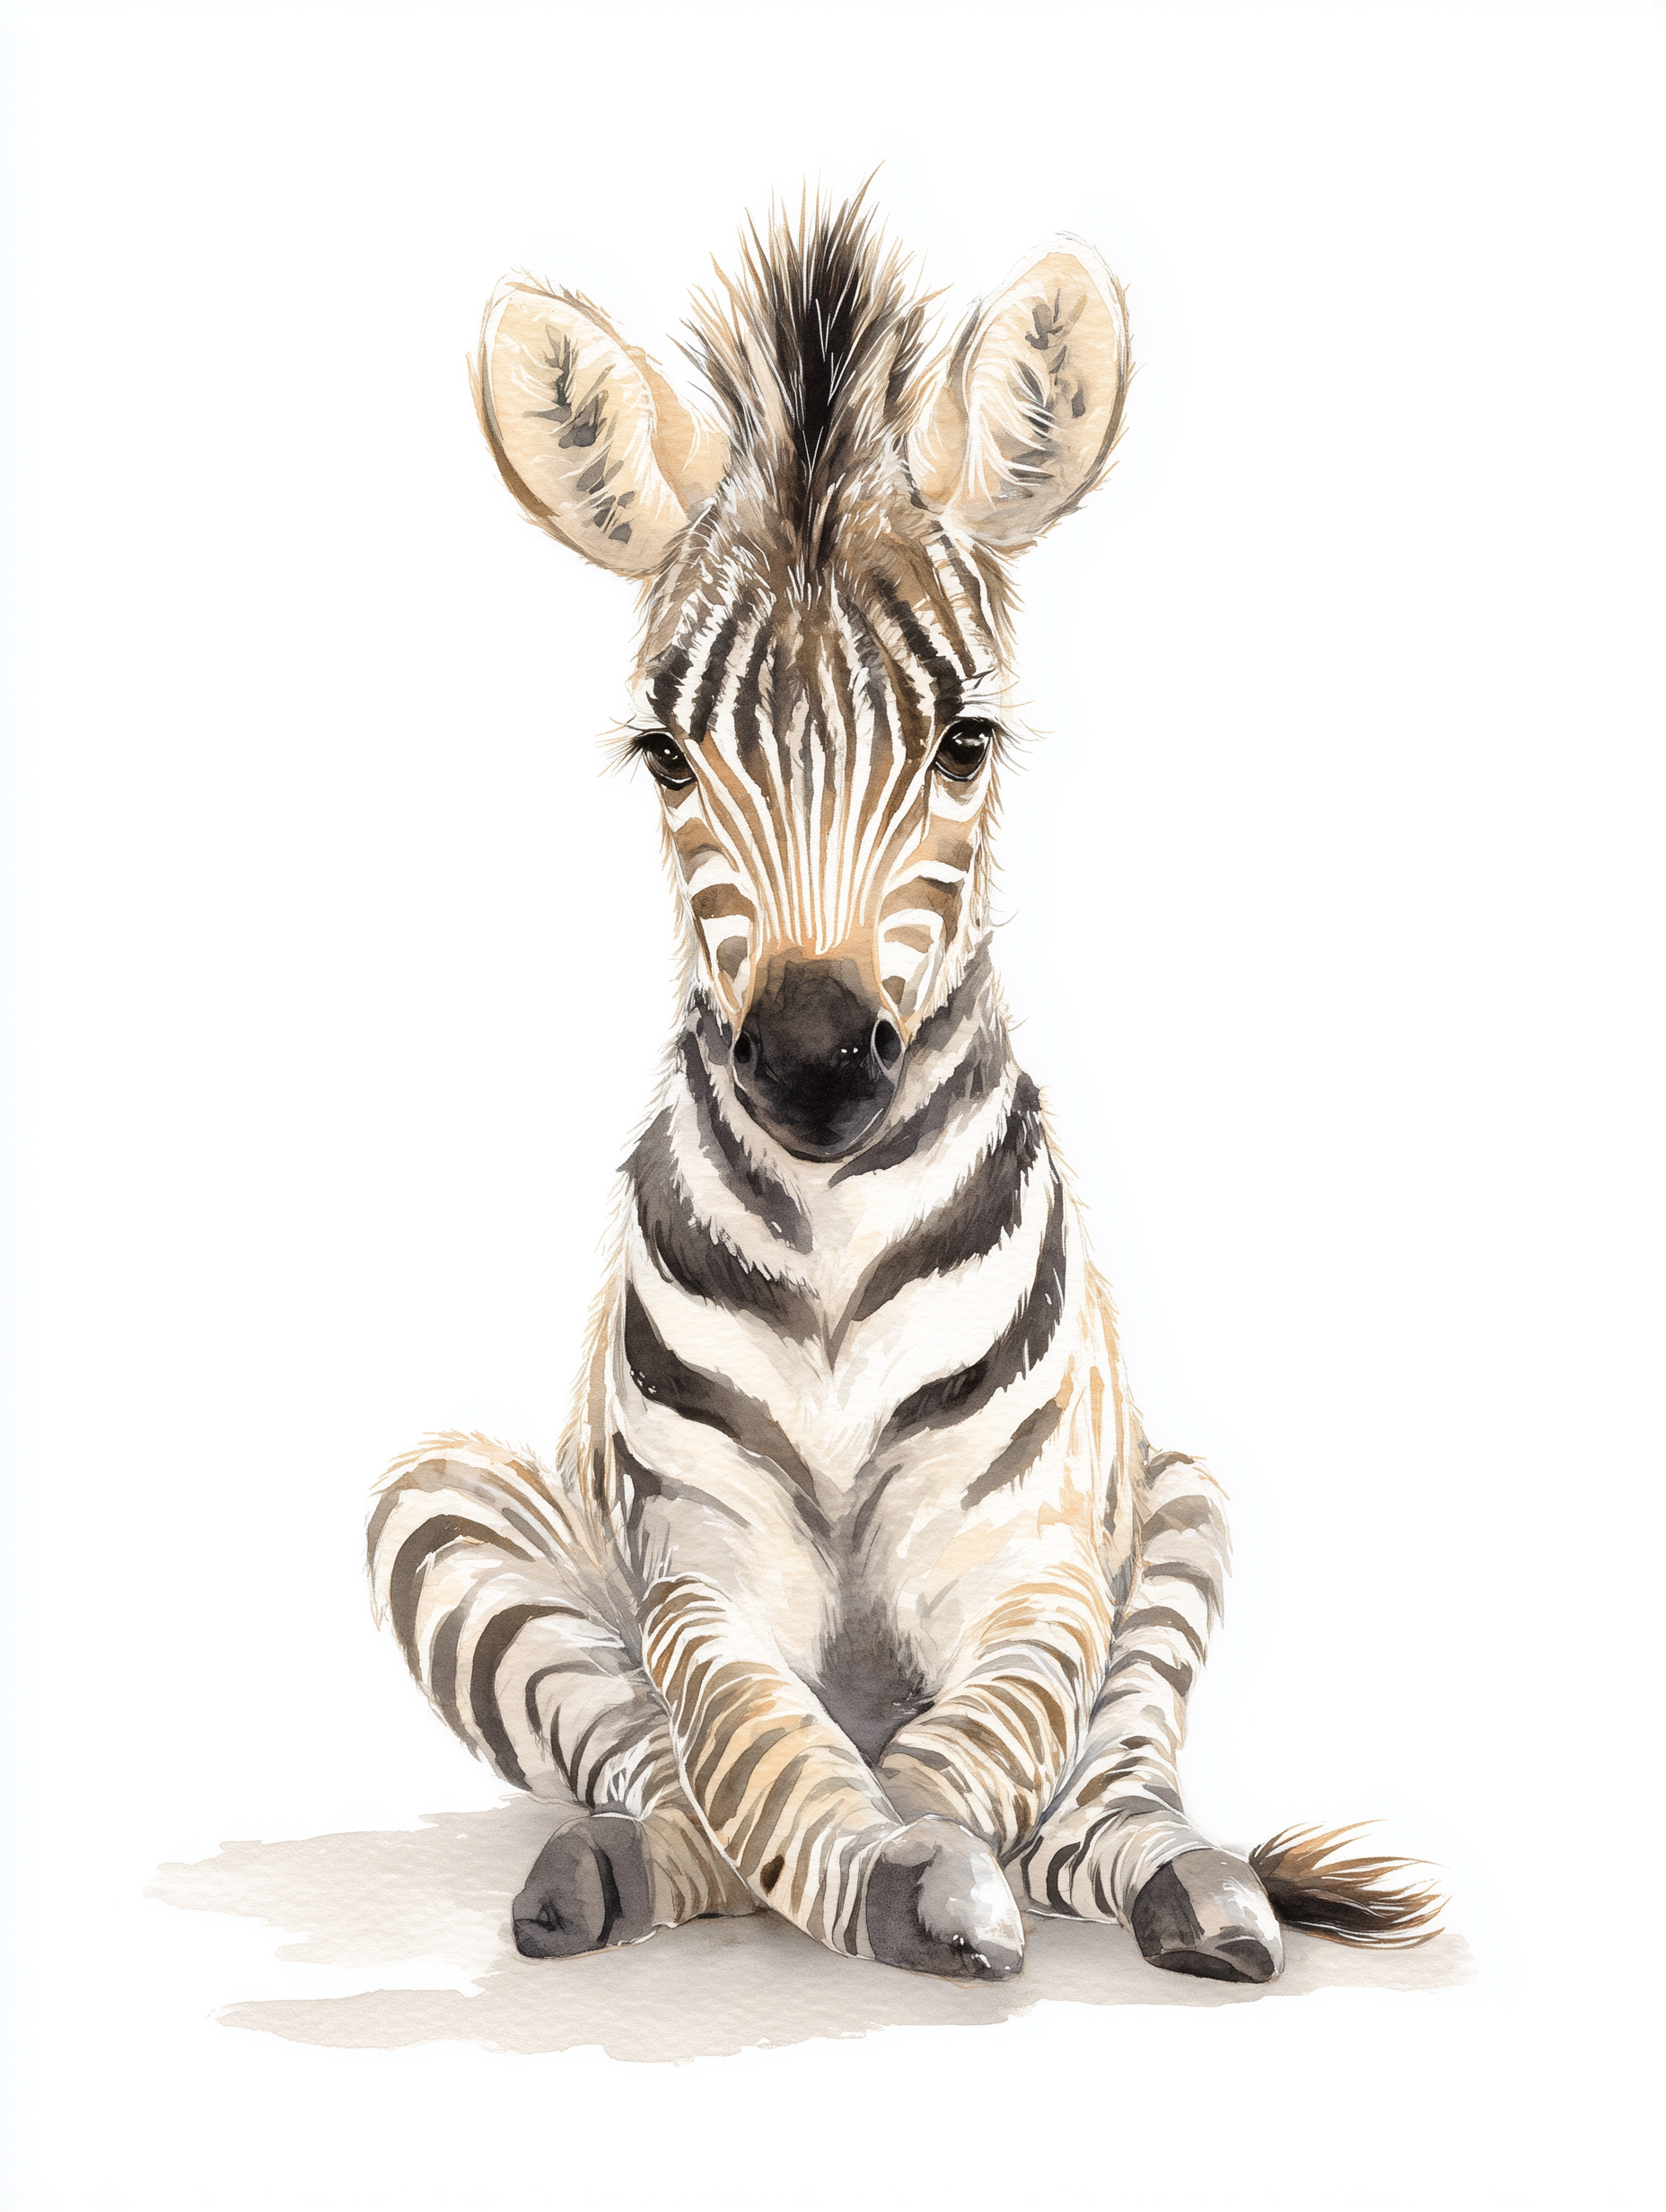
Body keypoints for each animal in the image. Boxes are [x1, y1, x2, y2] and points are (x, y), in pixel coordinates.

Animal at [369, 195, 1439, 1983]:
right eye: (665, 754)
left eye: (968, 744)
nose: (811, 1058)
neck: (834, 1241)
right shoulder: (700, 1572)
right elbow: (746, 1746)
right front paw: (859, 1869)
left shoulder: (1035, 1568)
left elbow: (984, 1748)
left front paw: (932, 1863)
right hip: (444, 1508)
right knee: (636, 1749)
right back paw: (619, 1866)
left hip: (1180, 1498)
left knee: (1113, 1773)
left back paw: (1192, 1887)